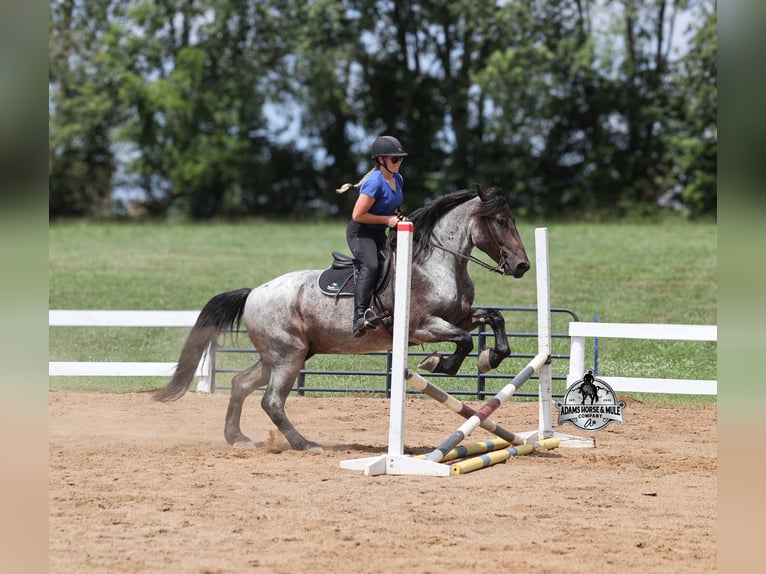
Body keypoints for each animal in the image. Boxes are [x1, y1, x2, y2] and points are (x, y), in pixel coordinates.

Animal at [153, 186, 530, 451]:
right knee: (271, 400)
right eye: (500, 222)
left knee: (241, 384)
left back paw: (238, 438)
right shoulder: (423, 326)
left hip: (283, 354)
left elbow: (494, 319)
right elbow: (463, 341)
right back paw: (305, 444)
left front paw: (490, 357)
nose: (522, 265)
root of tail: (254, 292)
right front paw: (440, 364)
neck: (437, 262)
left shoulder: (461, 316)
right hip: (288, 355)